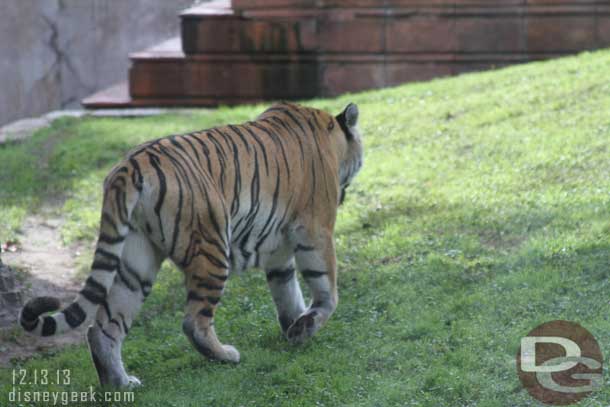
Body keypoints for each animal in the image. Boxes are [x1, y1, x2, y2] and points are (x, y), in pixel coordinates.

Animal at [19, 102, 360, 388]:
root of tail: (129, 166)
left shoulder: (279, 249)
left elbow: (287, 291)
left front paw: (297, 327)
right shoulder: (316, 229)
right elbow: (326, 288)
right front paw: (308, 325)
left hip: (135, 262)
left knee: (102, 327)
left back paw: (121, 383)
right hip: (211, 246)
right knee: (194, 321)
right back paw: (226, 355)